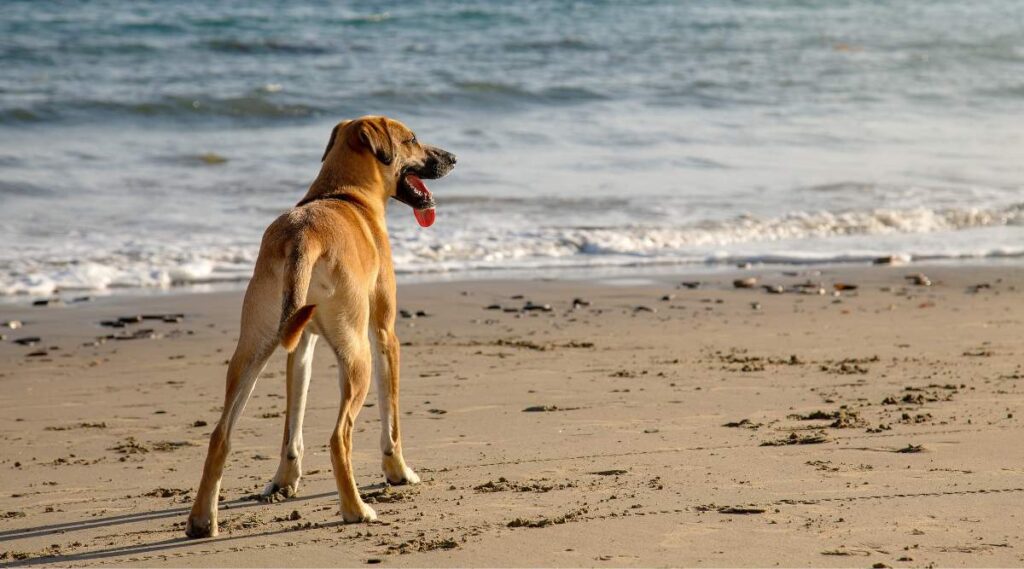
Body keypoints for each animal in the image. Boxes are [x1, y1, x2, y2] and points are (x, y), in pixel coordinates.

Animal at [185, 116, 456, 536]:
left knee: (220, 434)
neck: (344, 194)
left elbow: (292, 425)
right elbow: (391, 420)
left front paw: (284, 481)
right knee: (338, 437)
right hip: (358, 356)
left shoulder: (300, 347)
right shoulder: (384, 335)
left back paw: (201, 519)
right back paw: (355, 508)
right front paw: (398, 471)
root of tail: (303, 236)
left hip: (253, 347)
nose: (453, 158)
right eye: (412, 139)